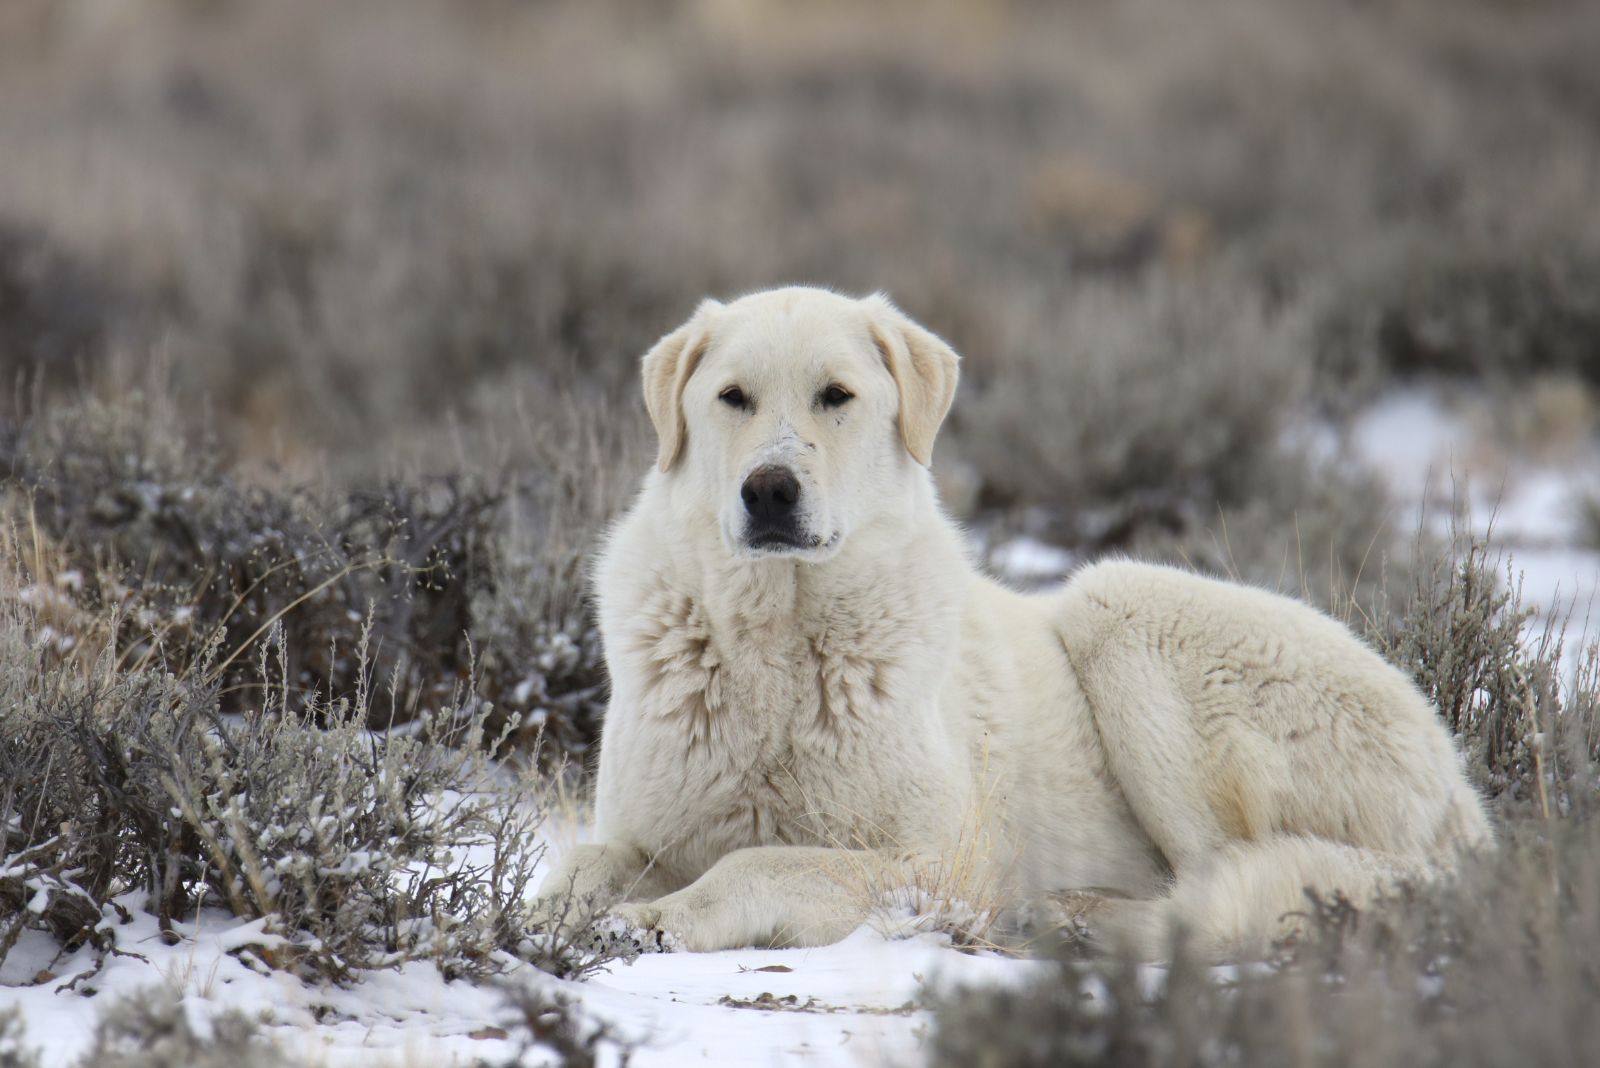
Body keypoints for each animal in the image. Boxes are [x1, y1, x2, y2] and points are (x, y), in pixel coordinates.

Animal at [534, 282, 1484, 959]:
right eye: (732, 397)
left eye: (836, 395)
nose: (768, 490)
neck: (777, 636)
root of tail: (1463, 798)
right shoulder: (644, 828)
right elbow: (586, 863)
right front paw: (551, 917)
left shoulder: (935, 861)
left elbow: (752, 863)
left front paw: (656, 921)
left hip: (1118, 607)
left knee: (1224, 890)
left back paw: (1079, 920)